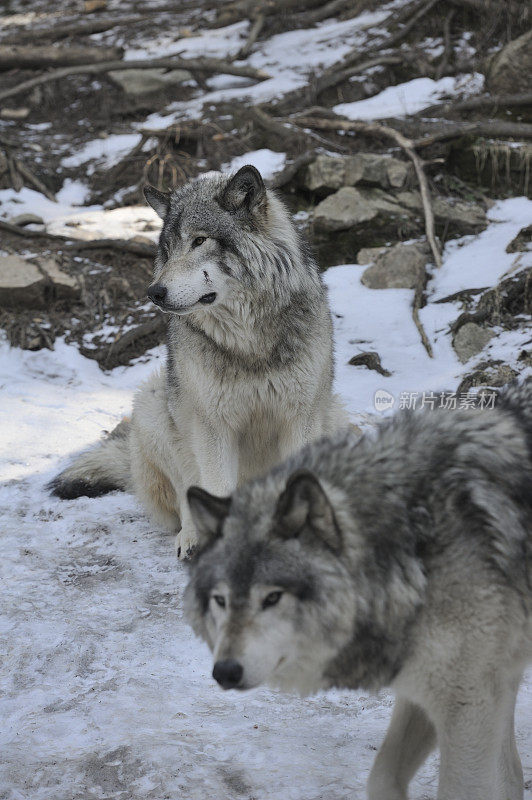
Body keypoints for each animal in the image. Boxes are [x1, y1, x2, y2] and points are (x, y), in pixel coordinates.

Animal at [48, 166, 350, 560]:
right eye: (167, 249)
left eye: (199, 241)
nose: (154, 293)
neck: (249, 344)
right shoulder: (213, 426)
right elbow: (212, 489)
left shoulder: (300, 421)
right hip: (155, 408)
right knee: (184, 493)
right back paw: (191, 540)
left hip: (336, 418)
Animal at [186, 380, 532, 800]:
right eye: (220, 600)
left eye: (272, 597)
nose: (225, 671)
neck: (412, 548)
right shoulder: (434, 692)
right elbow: (382, 776)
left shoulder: (469, 704)